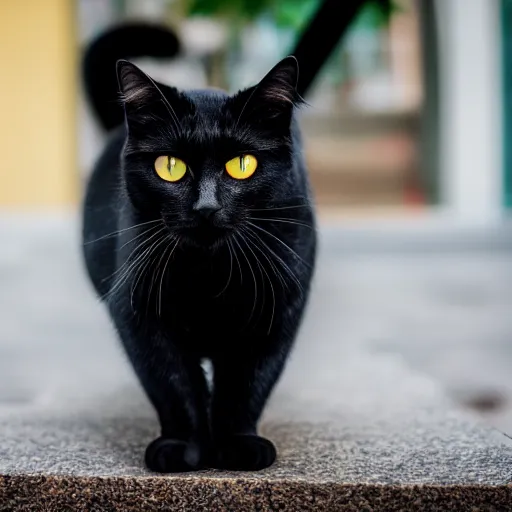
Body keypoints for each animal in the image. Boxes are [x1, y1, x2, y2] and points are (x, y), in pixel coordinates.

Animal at [81, 24, 314, 472]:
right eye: (170, 167)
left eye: (242, 165)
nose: (206, 207)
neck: (211, 274)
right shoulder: (138, 312)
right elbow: (173, 385)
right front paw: (184, 448)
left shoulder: (277, 308)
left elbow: (248, 384)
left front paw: (239, 445)